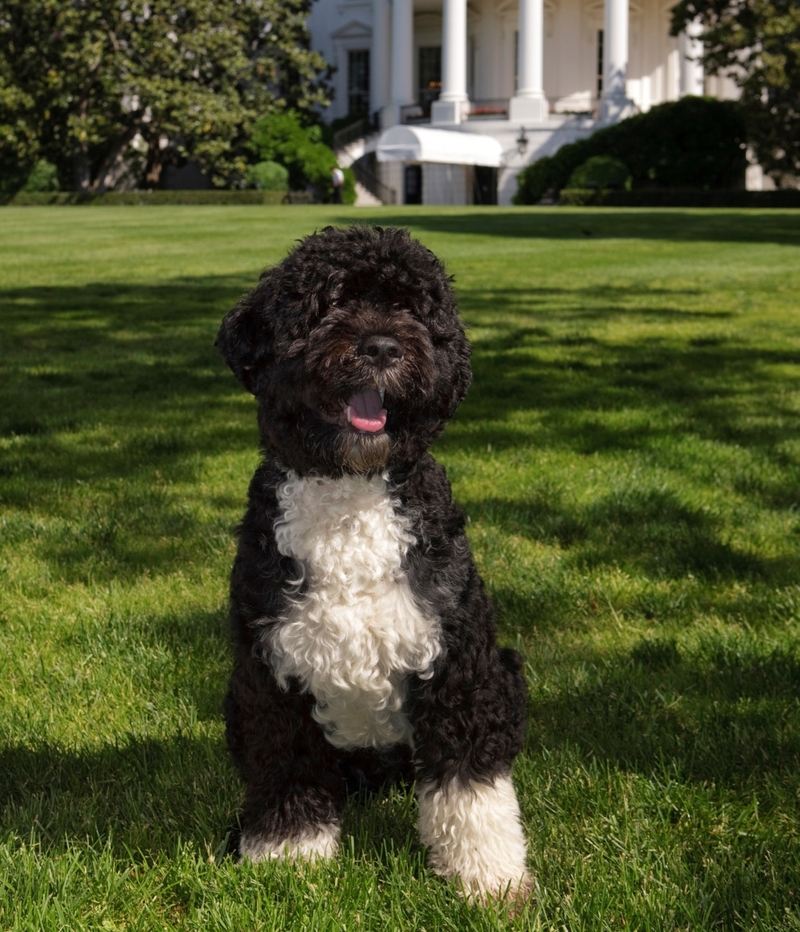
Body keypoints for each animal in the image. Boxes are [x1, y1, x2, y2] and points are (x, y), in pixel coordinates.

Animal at [216, 226, 536, 904]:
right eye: (328, 303)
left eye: (413, 308)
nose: (383, 346)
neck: (350, 491)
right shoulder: (270, 676)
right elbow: (286, 772)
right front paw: (286, 855)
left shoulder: (459, 668)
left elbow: (471, 789)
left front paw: (489, 875)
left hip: (506, 674)